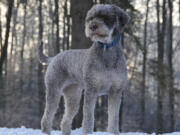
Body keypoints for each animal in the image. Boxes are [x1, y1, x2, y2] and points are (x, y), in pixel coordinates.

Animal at [39, 3, 129, 135]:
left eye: (106, 16)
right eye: (90, 18)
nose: (92, 26)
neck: (107, 50)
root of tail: (54, 58)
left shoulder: (116, 92)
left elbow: (114, 117)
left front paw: (114, 132)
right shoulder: (92, 90)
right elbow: (88, 116)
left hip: (73, 96)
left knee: (65, 120)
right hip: (53, 91)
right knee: (47, 117)